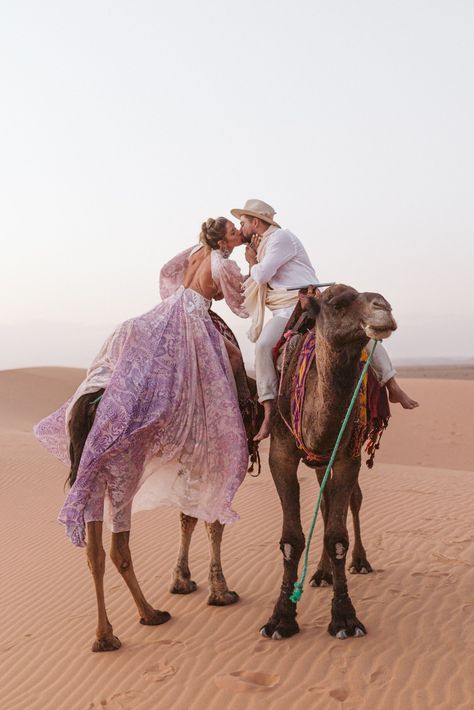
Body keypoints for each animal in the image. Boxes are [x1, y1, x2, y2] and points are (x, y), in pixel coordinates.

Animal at [262, 286, 398, 644]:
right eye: (337, 304)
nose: (384, 307)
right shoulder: (281, 453)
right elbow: (291, 540)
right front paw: (280, 619)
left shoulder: (347, 454)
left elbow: (338, 536)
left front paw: (345, 619)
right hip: (317, 460)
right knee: (324, 502)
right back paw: (321, 573)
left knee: (351, 501)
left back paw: (359, 562)